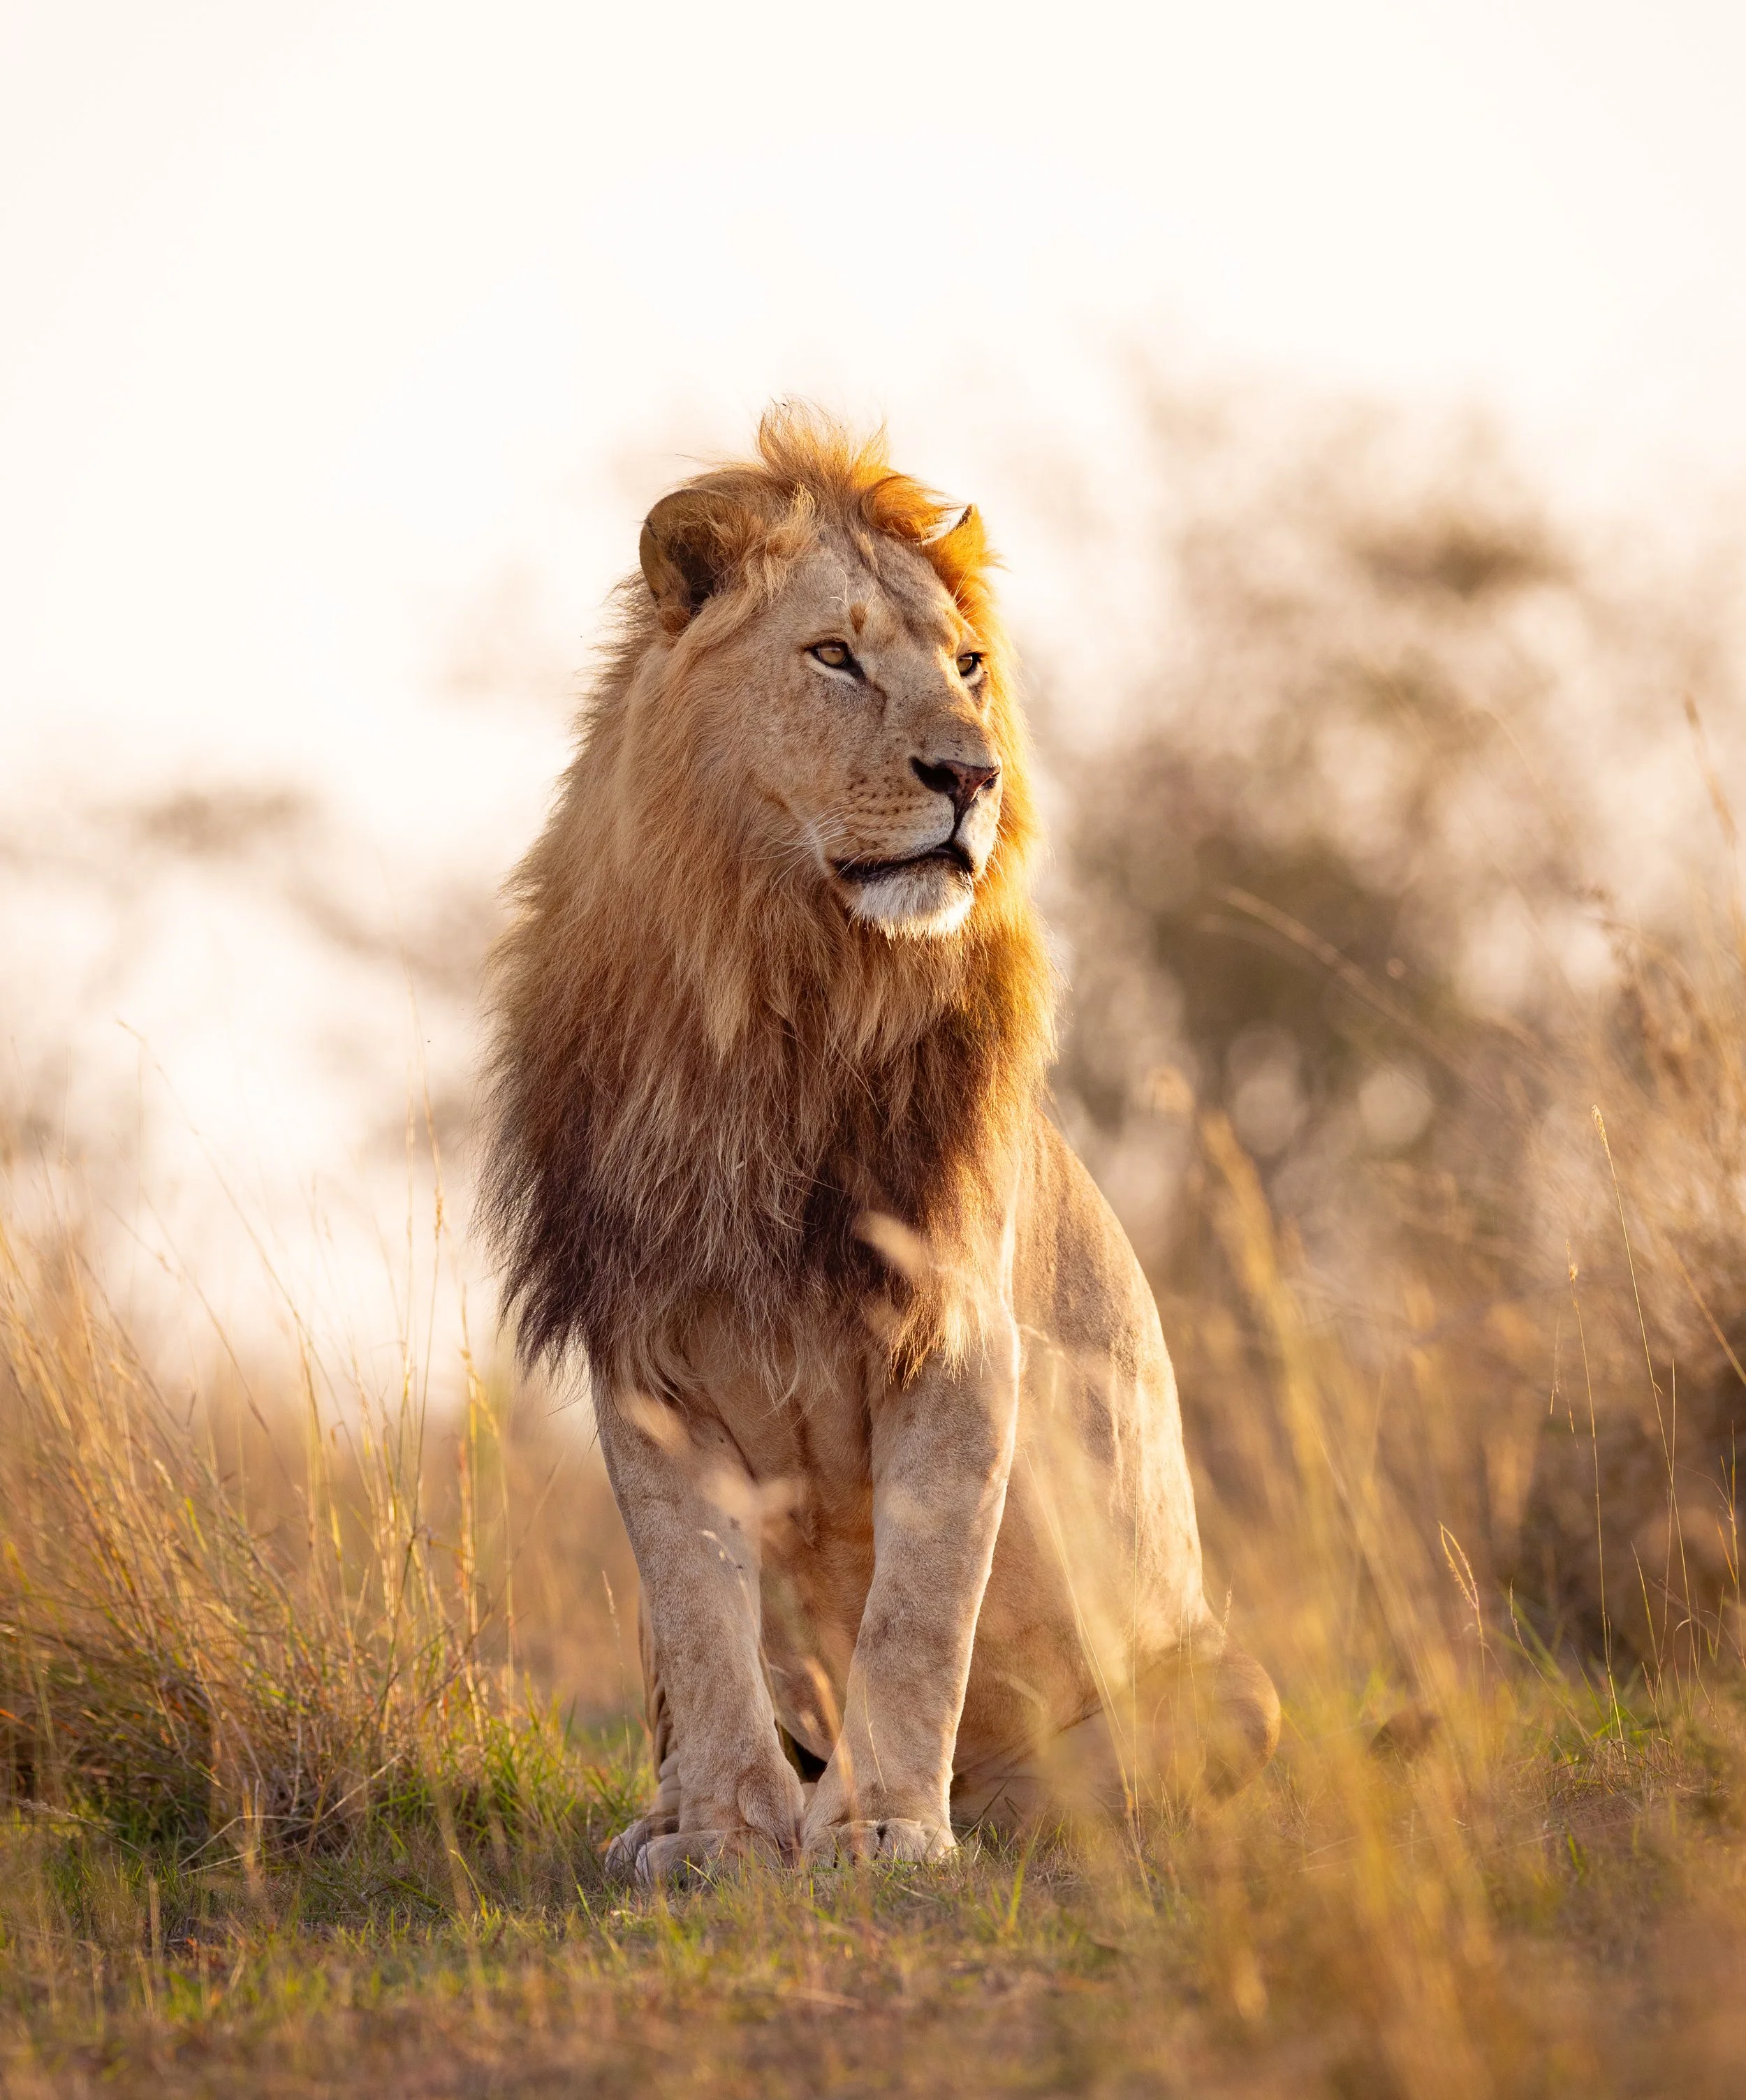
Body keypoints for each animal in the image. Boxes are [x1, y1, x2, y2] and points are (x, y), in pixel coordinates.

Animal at [482, 406, 1278, 1879]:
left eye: (968, 665)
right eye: (834, 656)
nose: (972, 774)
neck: (778, 988)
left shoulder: (961, 1335)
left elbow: (915, 1611)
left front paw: (889, 1826)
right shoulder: (642, 1351)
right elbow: (696, 1606)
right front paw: (723, 1830)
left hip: (1235, 1683)